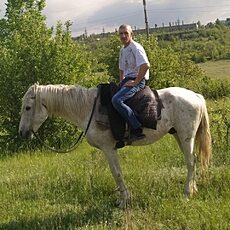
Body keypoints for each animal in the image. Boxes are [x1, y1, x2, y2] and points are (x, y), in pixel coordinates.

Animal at [18, 83, 211, 208]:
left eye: (27, 107)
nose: (22, 133)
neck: (88, 109)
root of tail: (196, 96)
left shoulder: (108, 148)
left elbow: (116, 173)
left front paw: (124, 201)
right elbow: (116, 174)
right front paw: (122, 199)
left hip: (186, 137)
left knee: (191, 162)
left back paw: (187, 193)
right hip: (178, 135)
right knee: (192, 161)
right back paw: (193, 188)